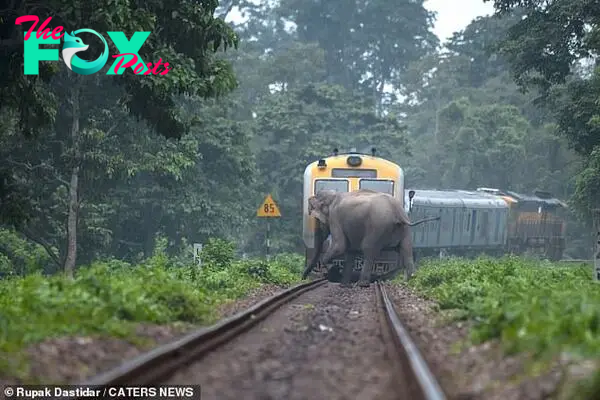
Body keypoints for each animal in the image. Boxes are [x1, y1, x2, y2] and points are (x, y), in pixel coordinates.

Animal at [302, 191, 438, 288]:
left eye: (318, 220)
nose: (303, 278)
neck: (333, 195)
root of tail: (397, 212)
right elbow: (350, 252)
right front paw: (344, 285)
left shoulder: (335, 218)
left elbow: (340, 246)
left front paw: (334, 271)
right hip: (404, 230)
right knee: (406, 250)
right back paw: (410, 281)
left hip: (377, 227)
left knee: (369, 250)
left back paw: (362, 284)